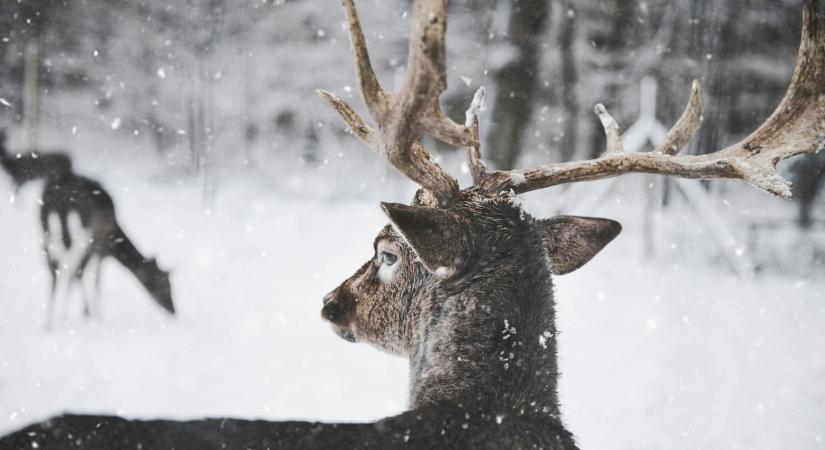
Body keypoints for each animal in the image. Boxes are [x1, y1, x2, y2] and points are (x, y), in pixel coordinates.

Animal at [0, 126, 174, 326]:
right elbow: (94, 277)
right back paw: (65, 314)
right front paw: (93, 313)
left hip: (46, 225)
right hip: (78, 231)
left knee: (54, 266)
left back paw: (50, 320)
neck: (116, 239)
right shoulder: (100, 245)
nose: (173, 310)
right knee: (70, 267)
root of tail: (57, 198)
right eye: (164, 283)